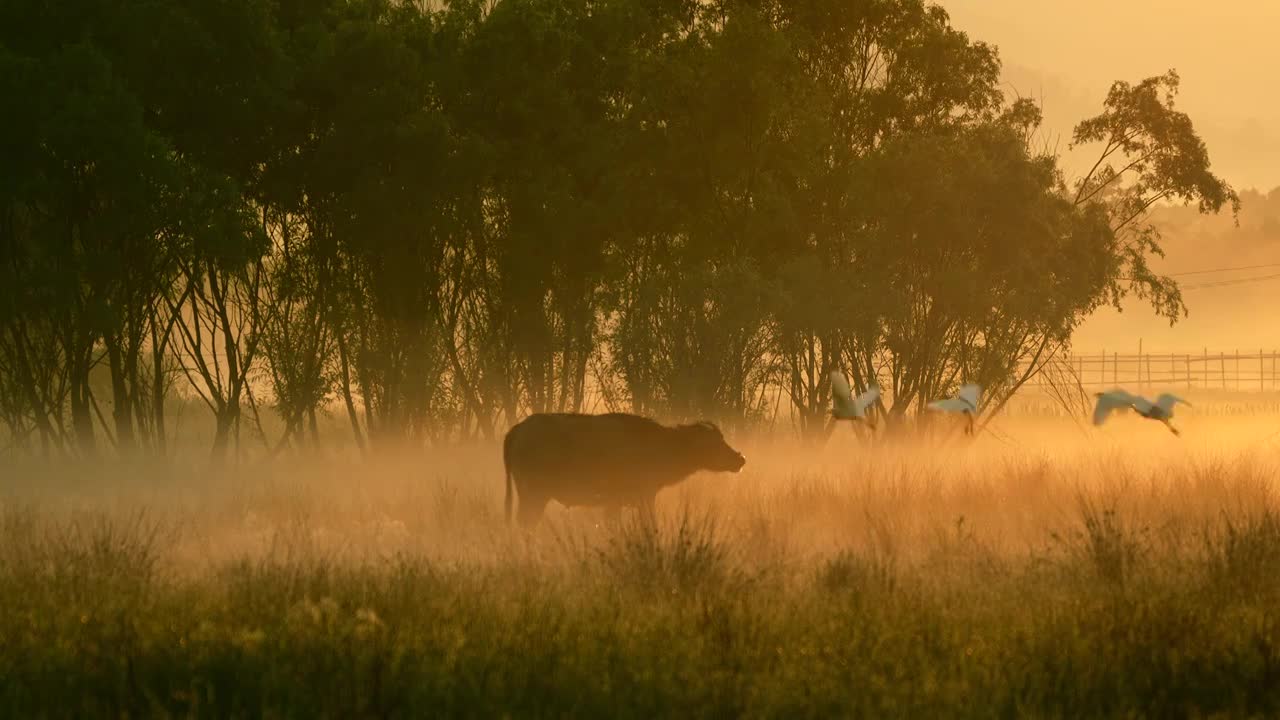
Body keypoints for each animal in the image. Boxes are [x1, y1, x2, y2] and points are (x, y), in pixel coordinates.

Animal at [496, 412, 747, 525]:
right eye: (716, 442)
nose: (740, 458)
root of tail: (518, 430)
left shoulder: (615, 503)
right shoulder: (643, 498)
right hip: (533, 494)